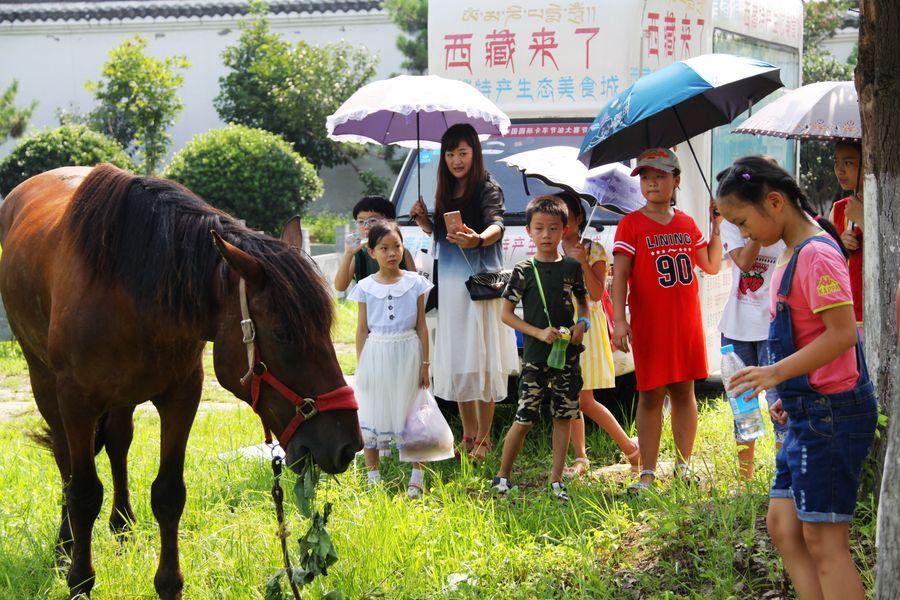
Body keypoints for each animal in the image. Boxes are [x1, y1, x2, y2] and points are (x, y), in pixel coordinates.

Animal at [0, 164, 362, 600]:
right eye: (282, 333)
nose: (347, 445)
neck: (131, 289)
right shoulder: (76, 401)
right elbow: (84, 492)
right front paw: (80, 581)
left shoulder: (182, 396)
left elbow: (169, 493)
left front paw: (169, 583)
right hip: (44, 383)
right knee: (65, 461)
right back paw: (64, 545)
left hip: (121, 396)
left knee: (118, 442)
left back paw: (122, 527)